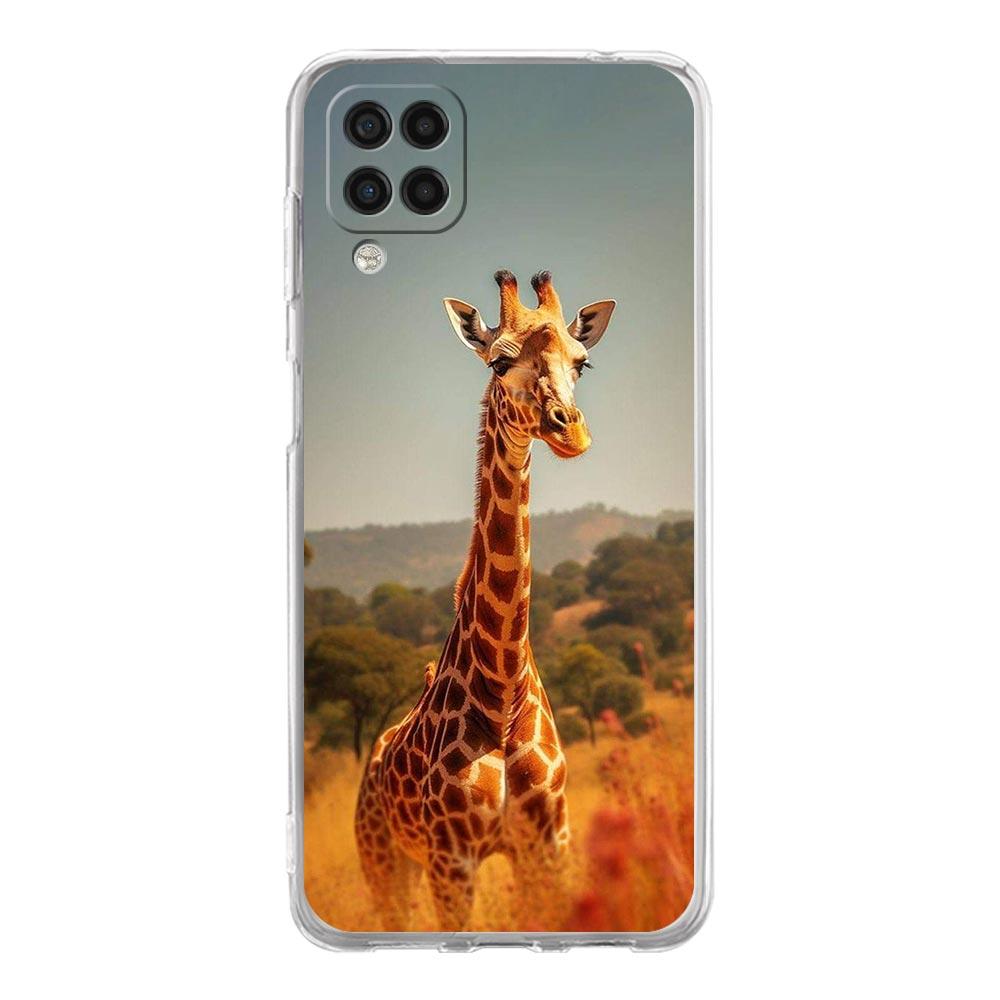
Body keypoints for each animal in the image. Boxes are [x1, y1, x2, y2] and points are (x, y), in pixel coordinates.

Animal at [354, 269, 616, 930]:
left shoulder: (548, 845)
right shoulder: (453, 858)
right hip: (385, 861)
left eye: (583, 362)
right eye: (499, 361)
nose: (571, 430)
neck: (502, 691)